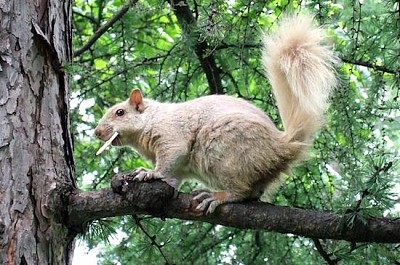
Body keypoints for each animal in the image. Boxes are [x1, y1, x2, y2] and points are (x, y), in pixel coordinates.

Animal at [94, 13, 338, 212]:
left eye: (119, 112)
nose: (97, 132)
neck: (152, 119)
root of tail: (281, 147)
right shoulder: (179, 167)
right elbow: (174, 176)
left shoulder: (172, 135)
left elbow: (169, 160)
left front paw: (150, 172)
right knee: (253, 192)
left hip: (227, 154)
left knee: (241, 191)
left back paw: (217, 196)